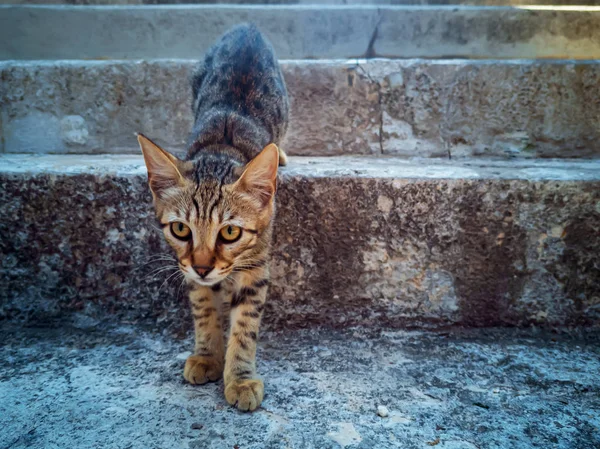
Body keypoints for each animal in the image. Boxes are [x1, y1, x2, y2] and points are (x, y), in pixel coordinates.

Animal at [135, 23, 288, 410]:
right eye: (180, 229)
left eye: (230, 233)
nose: (204, 267)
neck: (220, 150)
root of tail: (247, 28)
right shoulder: (188, 270)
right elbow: (203, 307)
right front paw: (207, 355)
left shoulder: (256, 268)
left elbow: (245, 325)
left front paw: (241, 377)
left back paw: (280, 153)